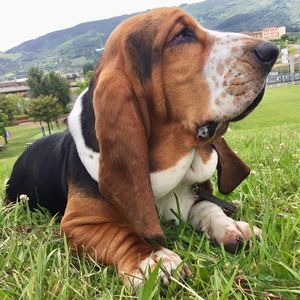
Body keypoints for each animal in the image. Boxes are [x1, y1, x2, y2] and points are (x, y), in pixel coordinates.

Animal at [5, 7, 278, 288]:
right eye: (182, 35)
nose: (272, 51)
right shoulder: (78, 223)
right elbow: (119, 234)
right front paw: (152, 259)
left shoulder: (194, 197)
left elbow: (207, 206)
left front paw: (232, 227)